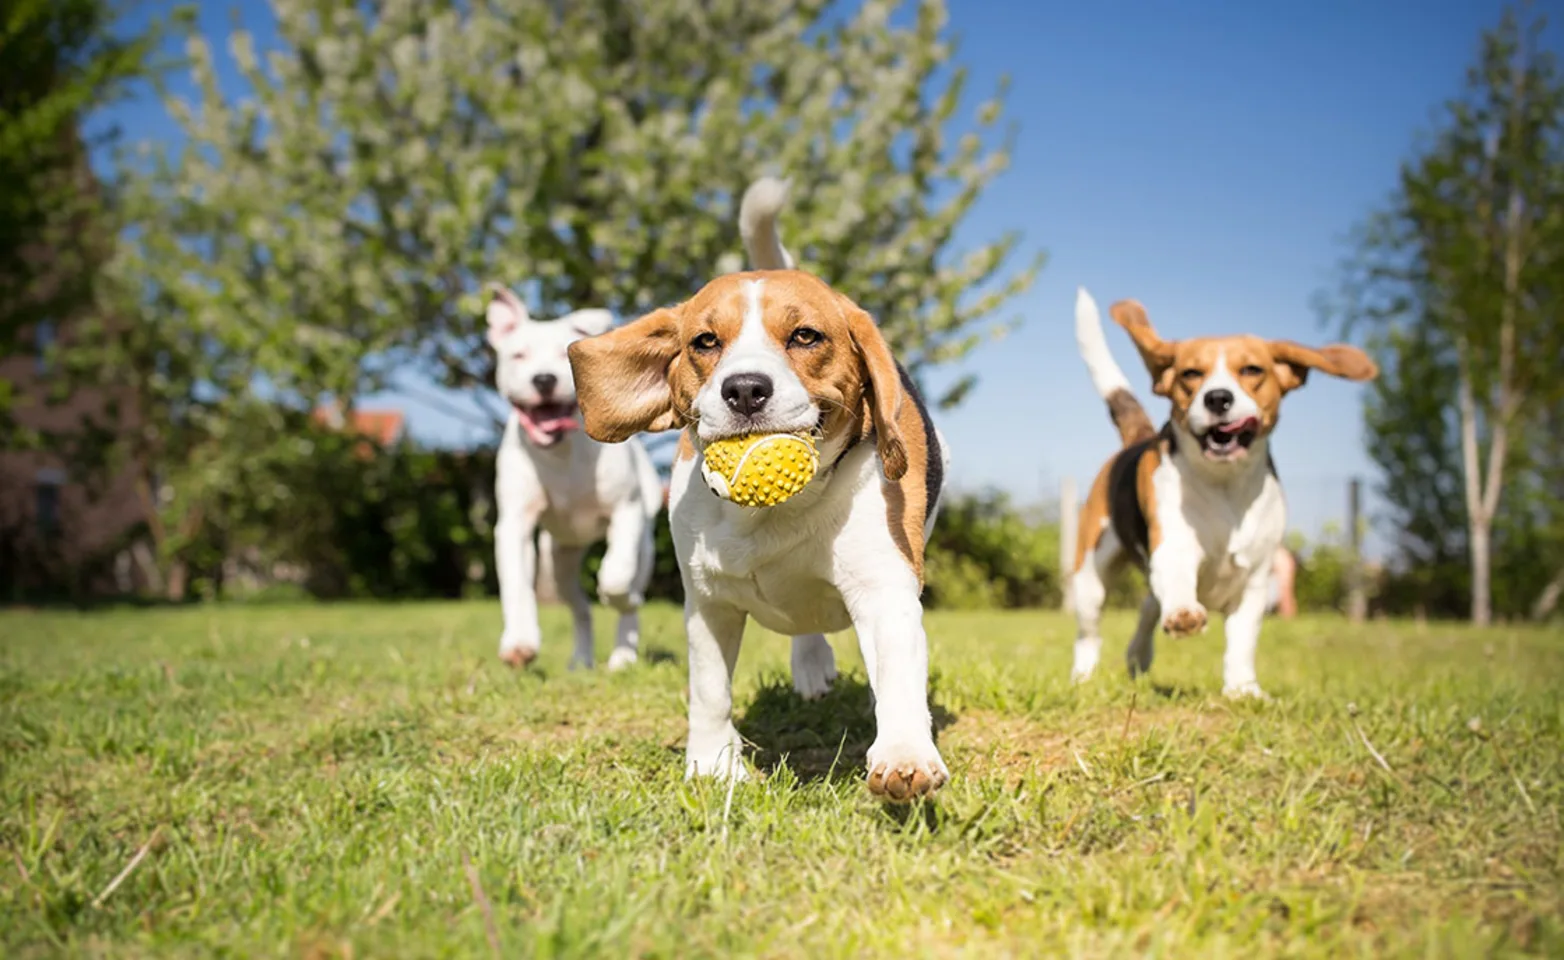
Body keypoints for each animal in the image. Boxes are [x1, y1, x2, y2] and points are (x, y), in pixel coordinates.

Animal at [487, 286, 660, 672]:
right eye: (518, 355)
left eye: (563, 355)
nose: (544, 379)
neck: (561, 452)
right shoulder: (514, 524)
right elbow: (516, 586)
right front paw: (519, 643)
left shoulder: (625, 511)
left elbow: (615, 576)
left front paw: (619, 595)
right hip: (559, 562)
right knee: (580, 608)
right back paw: (581, 659)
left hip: (644, 544)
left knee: (628, 594)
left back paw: (623, 655)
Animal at [569, 182, 944, 806]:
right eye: (704, 342)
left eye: (805, 336)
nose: (744, 389)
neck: (772, 514)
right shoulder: (707, 603)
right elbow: (710, 690)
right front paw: (712, 766)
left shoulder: (884, 588)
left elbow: (896, 675)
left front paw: (904, 754)